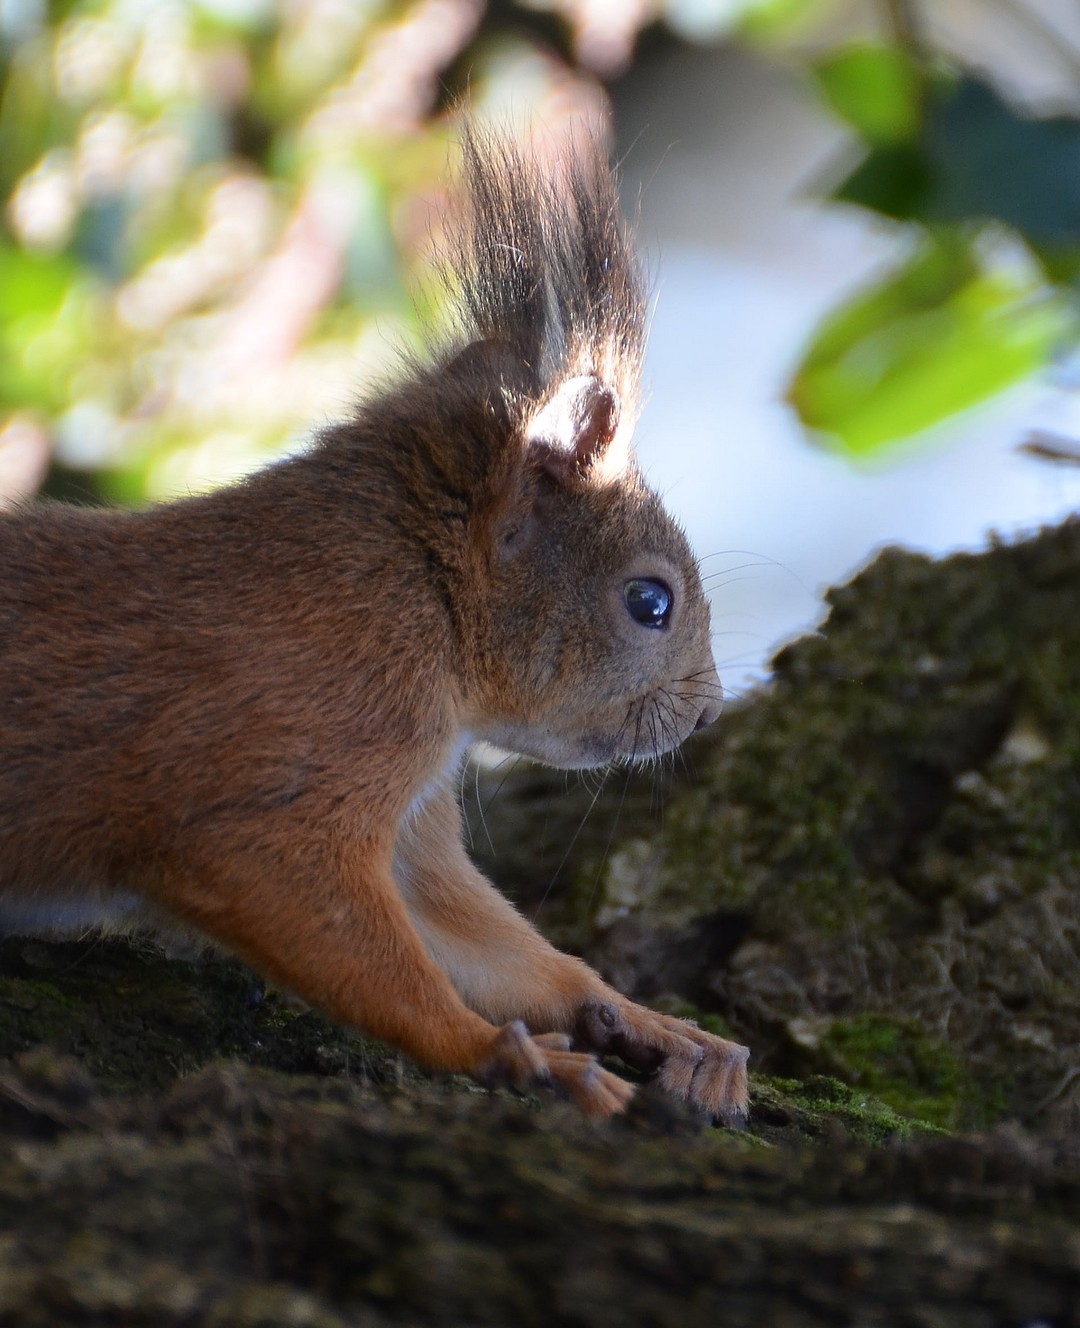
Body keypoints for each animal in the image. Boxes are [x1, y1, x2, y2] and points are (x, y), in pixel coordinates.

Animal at [0, 128, 749, 1125]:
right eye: (651, 602)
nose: (707, 713)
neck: (419, 593)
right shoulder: (294, 764)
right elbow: (335, 926)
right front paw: (501, 1054)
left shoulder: (413, 824)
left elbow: (488, 943)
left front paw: (654, 1025)